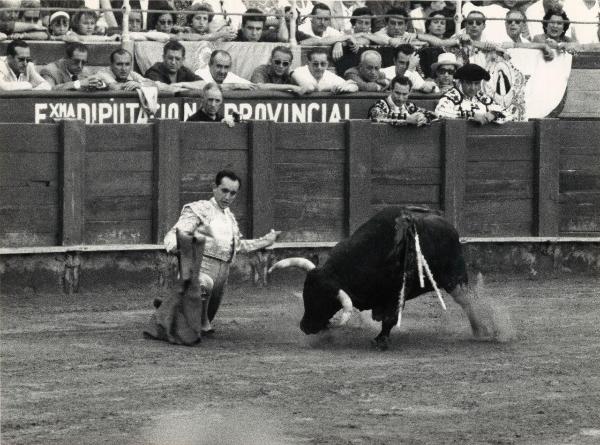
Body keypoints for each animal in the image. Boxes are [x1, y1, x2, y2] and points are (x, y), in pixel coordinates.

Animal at [270, 206, 508, 348]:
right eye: (306, 296)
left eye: (324, 302)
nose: (305, 326)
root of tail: (450, 226)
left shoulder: (395, 296)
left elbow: (389, 319)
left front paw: (380, 340)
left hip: (455, 279)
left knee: (468, 302)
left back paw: (483, 331)